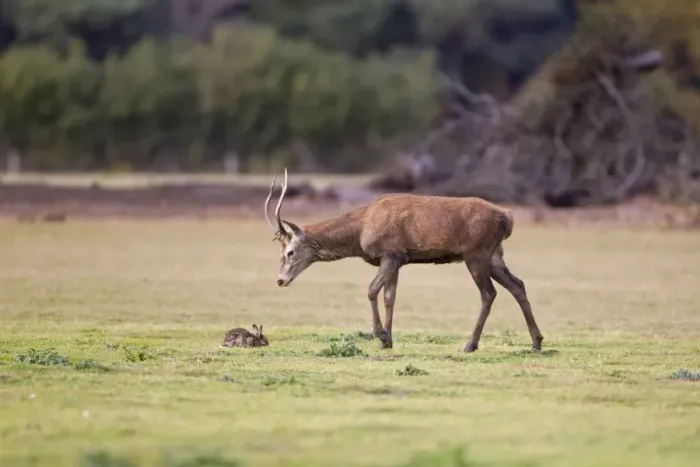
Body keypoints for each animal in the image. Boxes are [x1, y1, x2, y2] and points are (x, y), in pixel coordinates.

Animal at [263, 168, 544, 353]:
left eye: (289, 252)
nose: (280, 280)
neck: (361, 230)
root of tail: (508, 217)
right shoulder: (398, 259)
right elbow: (390, 296)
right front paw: (389, 339)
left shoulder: (392, 253)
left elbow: (372, 290)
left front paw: (381, 336)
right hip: (495, 254)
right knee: (518, 285)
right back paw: (536, 341)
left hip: (476, 253)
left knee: (489, 293)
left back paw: (470, 344)